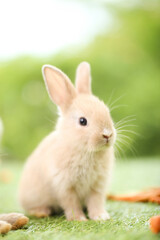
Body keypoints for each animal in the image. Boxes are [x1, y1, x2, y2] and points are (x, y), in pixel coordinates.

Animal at [18, 62, 116, 221]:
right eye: (82, 121)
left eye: (107, 112)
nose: (107, 134)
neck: (83, 149)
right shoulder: (65, 186)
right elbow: (71, 203)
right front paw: (79, 219)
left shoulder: (97, 185)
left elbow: (96, 201)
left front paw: (100, 217)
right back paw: (42, 212)